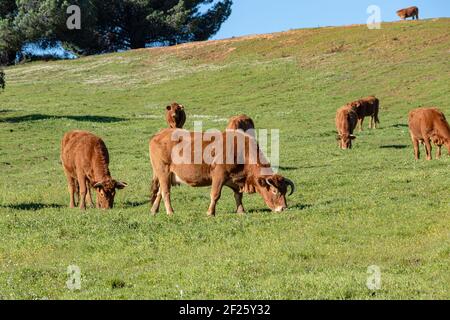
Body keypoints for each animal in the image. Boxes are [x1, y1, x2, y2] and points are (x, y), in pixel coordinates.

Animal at [149, 129, 294, 216]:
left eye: (285, 191)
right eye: (275, 191)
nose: (283, 208)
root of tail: (160, 134)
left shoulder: (236, 180)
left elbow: (238, 196)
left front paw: (241, 211)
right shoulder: (219, 175)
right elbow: (215, 195)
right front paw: (210, 212)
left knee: (160, 192)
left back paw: (154, 210)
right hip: (163, 172)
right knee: (166, 192)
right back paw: (170, 212)